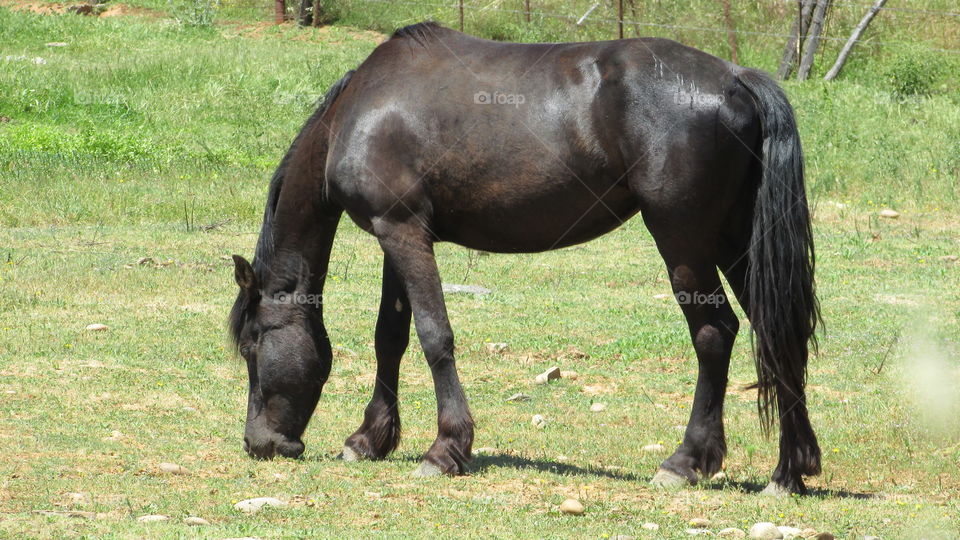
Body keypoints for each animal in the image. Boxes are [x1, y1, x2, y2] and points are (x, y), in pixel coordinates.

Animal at [228, 21, 822, 495]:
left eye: (253, 344)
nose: (259, 443)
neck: (360, 110)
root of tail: (735, 77)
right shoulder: (396, 235)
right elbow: (390, 337)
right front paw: (369, 439)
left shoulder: (401, 231)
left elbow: (434, 336)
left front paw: (445, 449)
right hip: (736, 241)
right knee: (777, 331)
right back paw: (789, 472)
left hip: (684, 241)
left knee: (715, 333)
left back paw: (686, 462)